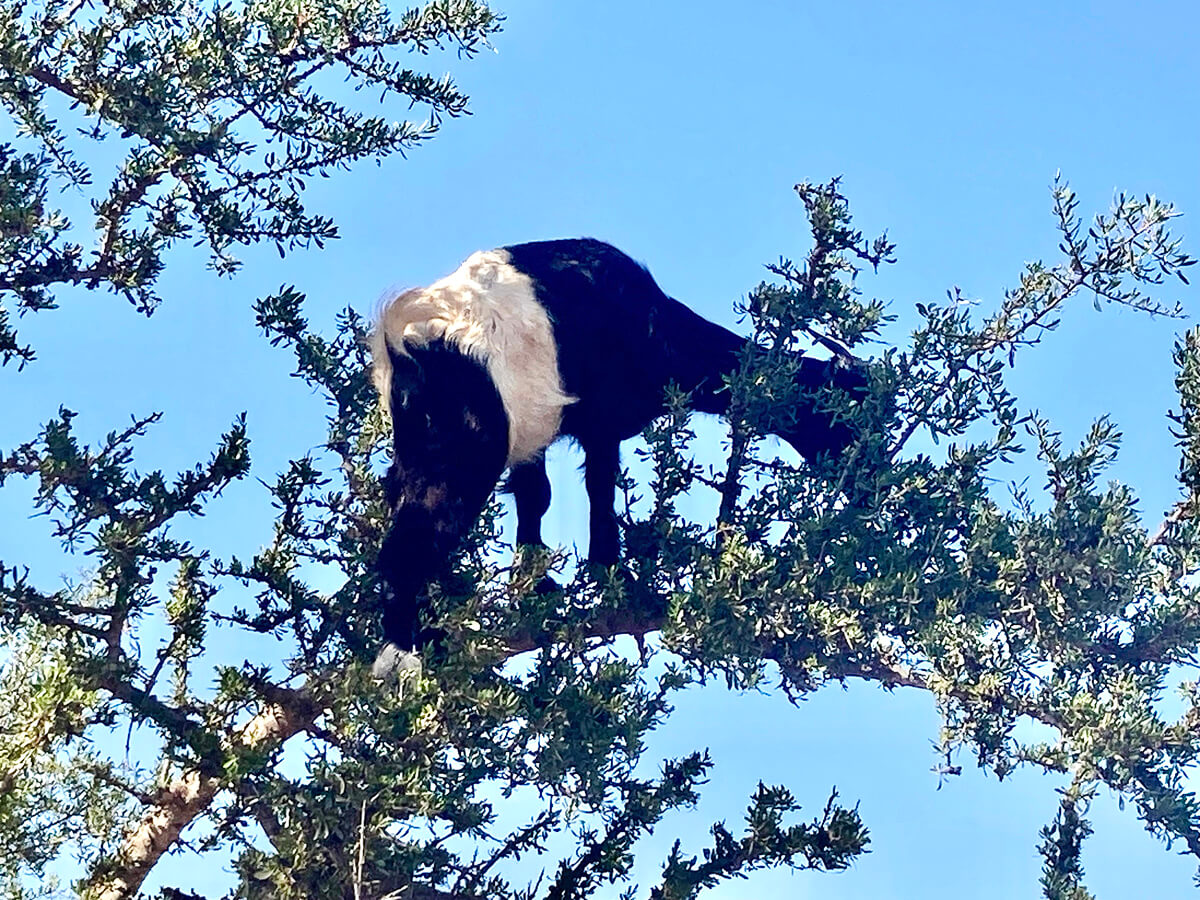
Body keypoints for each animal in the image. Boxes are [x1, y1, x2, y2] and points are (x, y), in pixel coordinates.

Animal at [371, 238, 868, 666]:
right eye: (845, 419)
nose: (864, 492)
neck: (655, 330)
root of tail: (405, 336)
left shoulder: (539, 435)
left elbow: (536, 497)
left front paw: (536, 585)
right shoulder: (601, 421)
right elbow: (600, 488)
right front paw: (615, 576)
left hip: (418, 450)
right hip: (463, 456)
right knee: (410, 543)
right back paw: (418, 644)